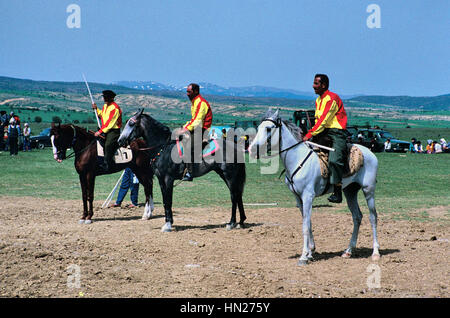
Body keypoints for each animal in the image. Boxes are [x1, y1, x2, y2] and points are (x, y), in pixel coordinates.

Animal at [248, 109, 382, 266]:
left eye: (269, 128)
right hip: (350, 191)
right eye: (258, 128)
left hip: (368, 190)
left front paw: (303, 256)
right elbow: (308, 222)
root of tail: (369, 153)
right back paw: (348, 251)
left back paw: (375, 253)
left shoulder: (308, 196)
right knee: (357, 216)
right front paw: (310, 252)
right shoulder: (299, 198)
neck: (297, 158)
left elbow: (305, 226)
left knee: (373, 217)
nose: (252, 150)